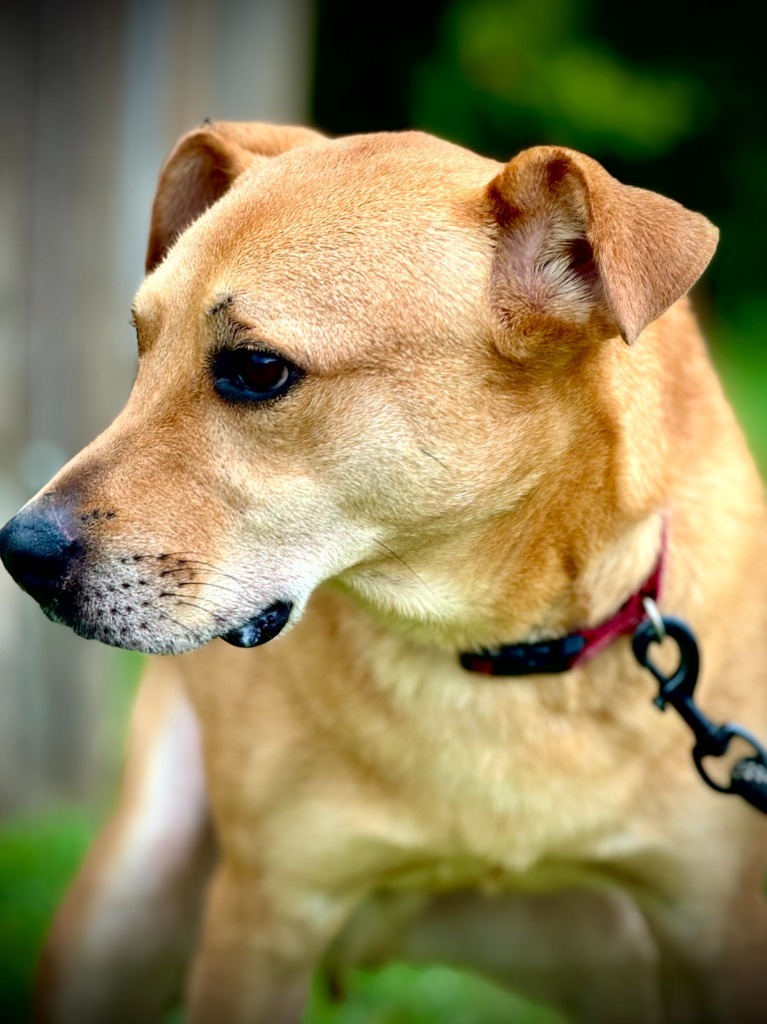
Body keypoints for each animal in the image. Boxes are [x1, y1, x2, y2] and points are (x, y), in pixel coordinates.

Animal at [1, 121, 765, 1024]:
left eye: (256, 369)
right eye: (142, 346)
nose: (17, 551)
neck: (493, 655)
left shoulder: (715, 929)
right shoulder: (264, 918)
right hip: (130, 901)